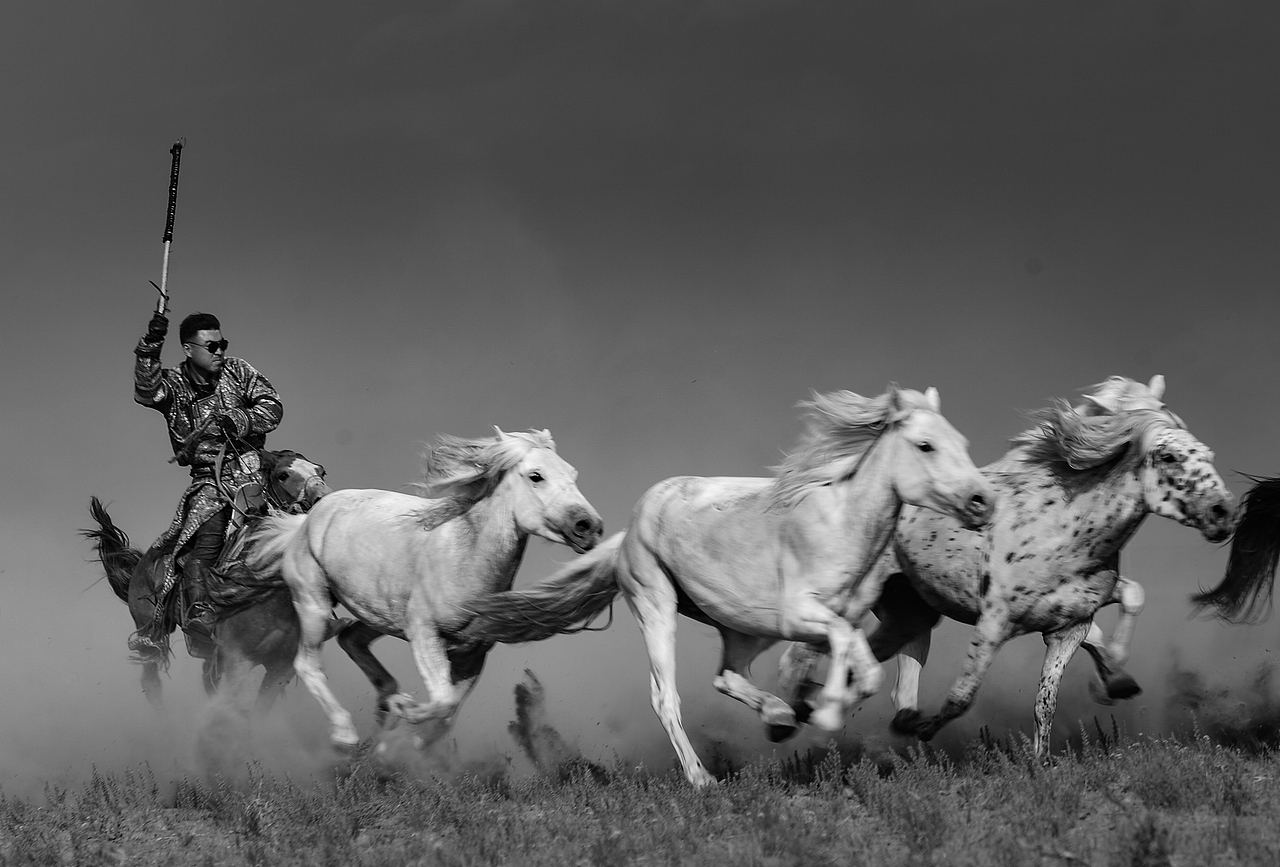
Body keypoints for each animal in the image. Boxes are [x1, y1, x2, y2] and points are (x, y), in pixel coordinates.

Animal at [83, 449, 331, 716]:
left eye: (321, 471)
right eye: (283, 475)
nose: (323, 500)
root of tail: (144, 560)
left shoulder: (281, 668)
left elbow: (257, 711)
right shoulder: (238, 660)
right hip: (149, 628)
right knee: (151, 681)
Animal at [244, 428, 603, 756]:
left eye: (573, 474)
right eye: (536, 476)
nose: (589, 527)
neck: (464, 557)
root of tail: (304, 522)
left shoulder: (473, 655)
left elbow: (447, 714)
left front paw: (401, 742)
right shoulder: (425, 635)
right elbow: (442, 701)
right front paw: (406, 714)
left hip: (379, 614)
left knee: (350, 639)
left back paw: (387, 702)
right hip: (314, 604)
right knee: (307, 663)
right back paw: (345, 734)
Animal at [461, 386, 996, 786]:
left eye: (962, 441)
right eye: (925, 445)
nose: (982, 501)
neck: (842, 524)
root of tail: (631, 526)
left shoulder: (838, 618)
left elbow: (856, 661)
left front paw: (812, 705)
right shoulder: (801, 616)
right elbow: (857, 664)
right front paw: (823, 713)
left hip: (743, 627)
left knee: (728, 676)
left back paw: (779, 719)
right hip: (657, 606)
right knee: (666, 696)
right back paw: (704, 778)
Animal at [777, 376, 1236, 758]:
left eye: (1207, 453)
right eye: (1169, 456)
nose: (1224, 513)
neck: (1063, 530)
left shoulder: (1069, 629)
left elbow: (1046, 701)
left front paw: (1042, 762)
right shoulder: (994, 623)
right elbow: (962, 696)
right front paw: (922, 729)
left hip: (910, 614)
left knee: (875, 661)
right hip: (857, 599)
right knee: (803, 651)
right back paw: (790, 713)